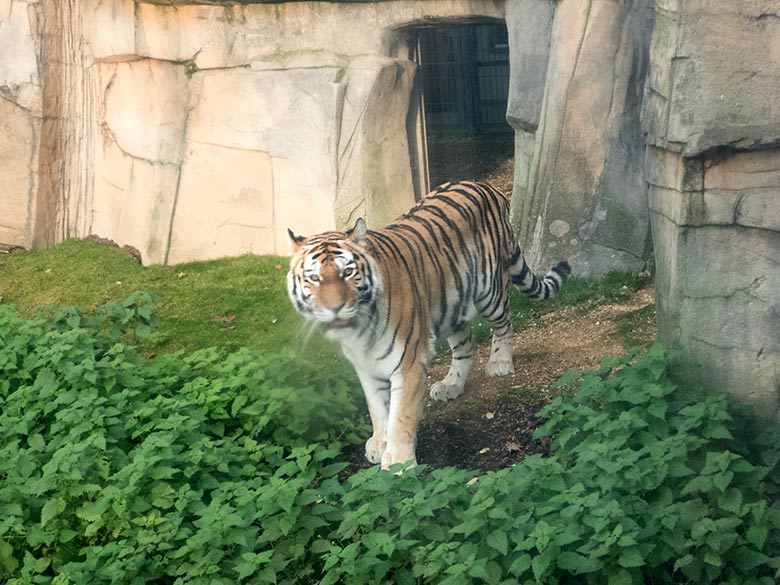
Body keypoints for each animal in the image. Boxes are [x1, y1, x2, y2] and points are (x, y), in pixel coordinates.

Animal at [284, 180, 568, 468]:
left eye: (348, 272)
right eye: (314, 278)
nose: (335, 308)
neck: (359, 331)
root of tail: (485, 186)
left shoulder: (408, 361)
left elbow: (400, 416)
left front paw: (397, 463)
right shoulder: (364, 365)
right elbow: (377, 407)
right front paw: (379, 443)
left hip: (490, 292)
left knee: (504, 323)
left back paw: (499, 363)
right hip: (452, 304)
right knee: (466, 347)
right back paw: (451, 385)